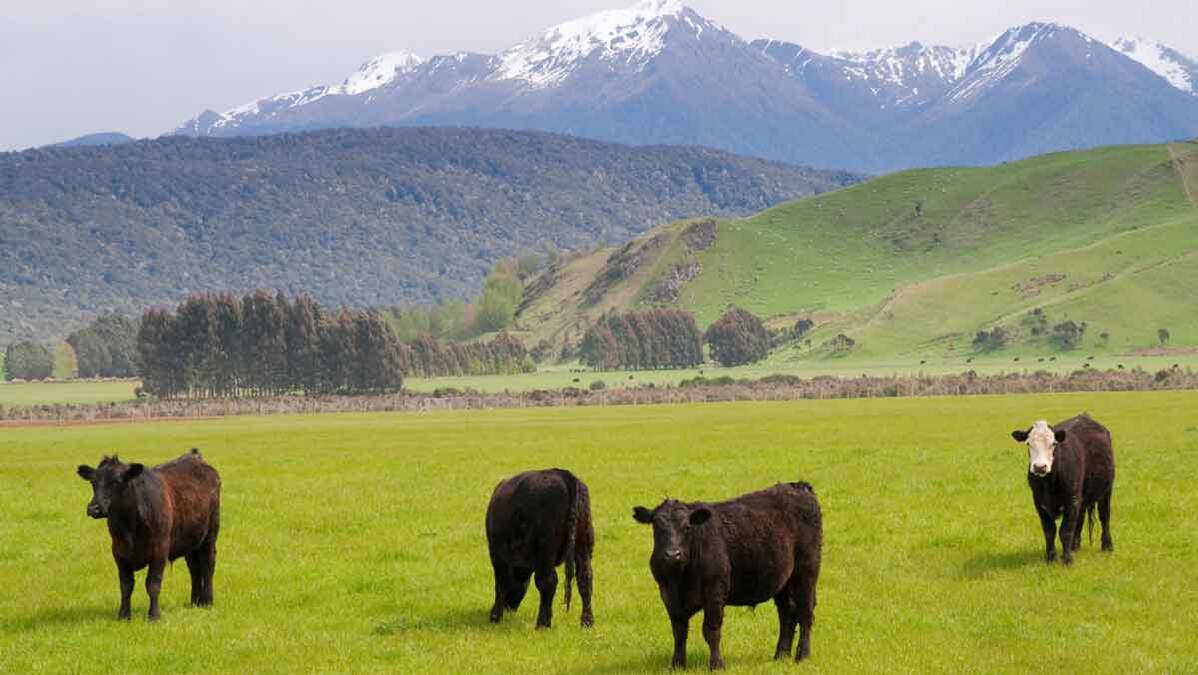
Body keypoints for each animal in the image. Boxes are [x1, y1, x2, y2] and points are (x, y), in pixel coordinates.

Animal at [76, 450, 221, 618]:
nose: (94, 508)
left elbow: (153, 584)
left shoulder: (160, 550)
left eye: (117, 482)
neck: (130, 527)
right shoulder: (119, 552)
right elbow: (126, 585)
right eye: (93, 483)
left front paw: (154, 615)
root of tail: (195, 456)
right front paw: (124, 615)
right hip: (191, 540)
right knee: (194, 568)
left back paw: (207, 601)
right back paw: (194, 602)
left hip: (210, 534)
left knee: (208, 564)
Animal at [486, 469, 594, 628]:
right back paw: (587, 623)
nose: (509, 608)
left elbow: (501, 582)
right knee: (585, 579)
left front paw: (495, 616)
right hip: (583, 545)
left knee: (548, 581)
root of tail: (564, 475)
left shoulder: (497, 554)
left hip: (546, 551)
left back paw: (542, 623)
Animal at [627, 479, 824, 671]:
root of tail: (799, 486)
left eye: (687, 527)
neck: (680, 579)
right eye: (657, 527)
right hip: (782, 579)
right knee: (787, 613)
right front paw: (677, 665)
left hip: (807, 570)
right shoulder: (668, 595)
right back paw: (780, 656)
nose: (672, 554)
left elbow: (711, 630)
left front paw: (717, 665)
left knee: (805, 611)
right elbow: (679, 631)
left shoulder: (715, 591)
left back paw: (802, 655)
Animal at [1015, 414, 1116, 568]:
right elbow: (1049, 531)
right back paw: (1075, 546)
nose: (1040, 467)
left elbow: (1066, 531)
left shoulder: (1071, 501)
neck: (1049, 484)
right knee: (1080, 519)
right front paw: (1051, 559)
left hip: (1106, 490)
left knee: (1105, 516)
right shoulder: (1039, 502)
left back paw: (1107, 546)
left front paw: (1067, 560)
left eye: (1053, 444)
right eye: (1028, 444)